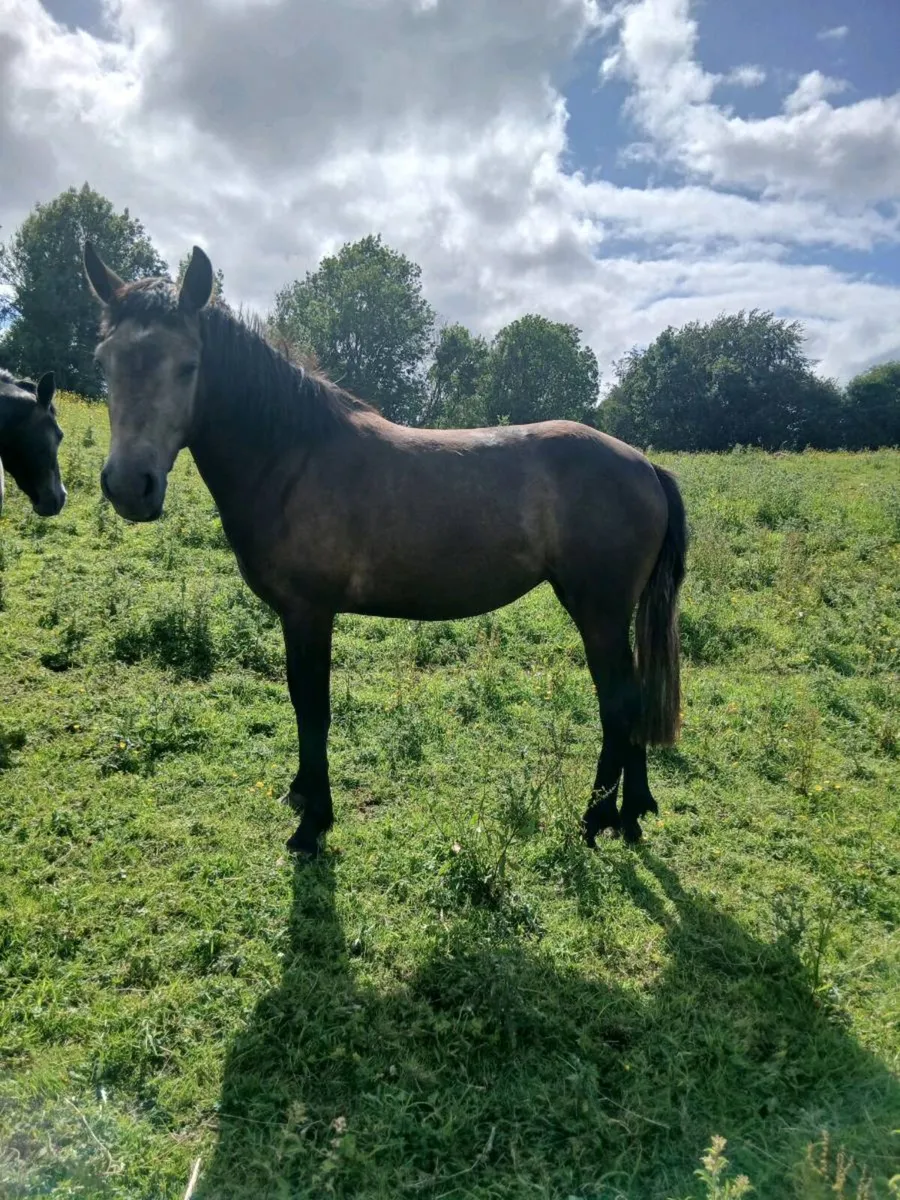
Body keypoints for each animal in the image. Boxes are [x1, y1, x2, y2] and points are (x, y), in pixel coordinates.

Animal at [83, 242, 687, 857]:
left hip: (599, 611)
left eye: (189, 364)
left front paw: (312, 824)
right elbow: (302, 704)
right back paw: (632, 814)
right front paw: (301, 794)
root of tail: (645, 465)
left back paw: (596, 818)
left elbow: (312, 708)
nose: (130, 486)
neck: (292, 456)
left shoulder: (308, 613)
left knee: (618, 703)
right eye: (104, 361)